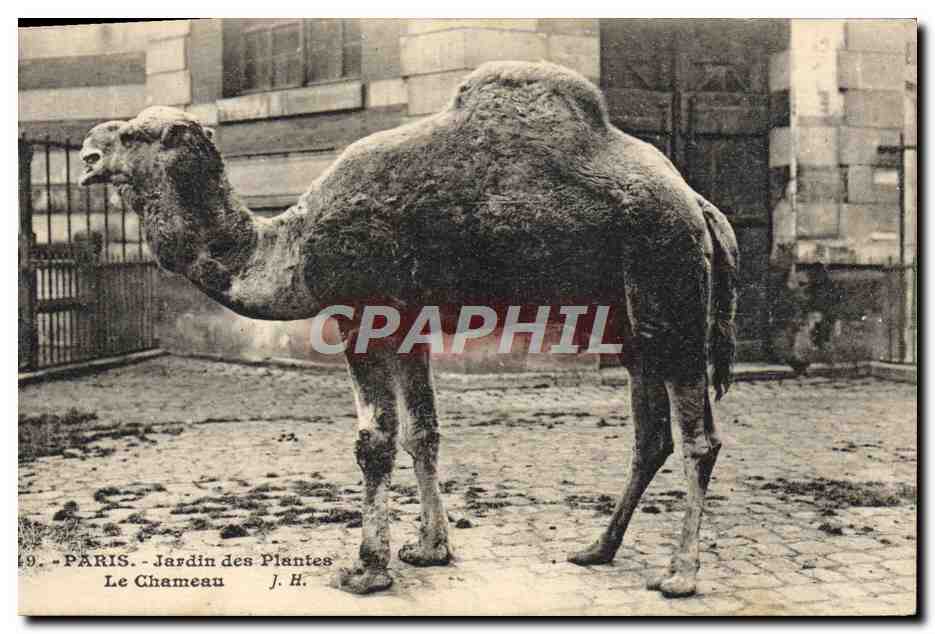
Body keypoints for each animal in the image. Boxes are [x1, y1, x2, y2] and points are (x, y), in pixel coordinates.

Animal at [79, 61, 738, 598]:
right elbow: (423, 432)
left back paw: (680, 574)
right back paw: (598, 549)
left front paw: (367, 568)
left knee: (697, 439)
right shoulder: (408, 325)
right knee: (650, 436)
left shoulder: (361, 314)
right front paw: (429, 549)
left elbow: (374, 441)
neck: (286, 245)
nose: (88, 150)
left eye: (134, 134)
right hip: (636, 323)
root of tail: (701, 207)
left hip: (670, 285)